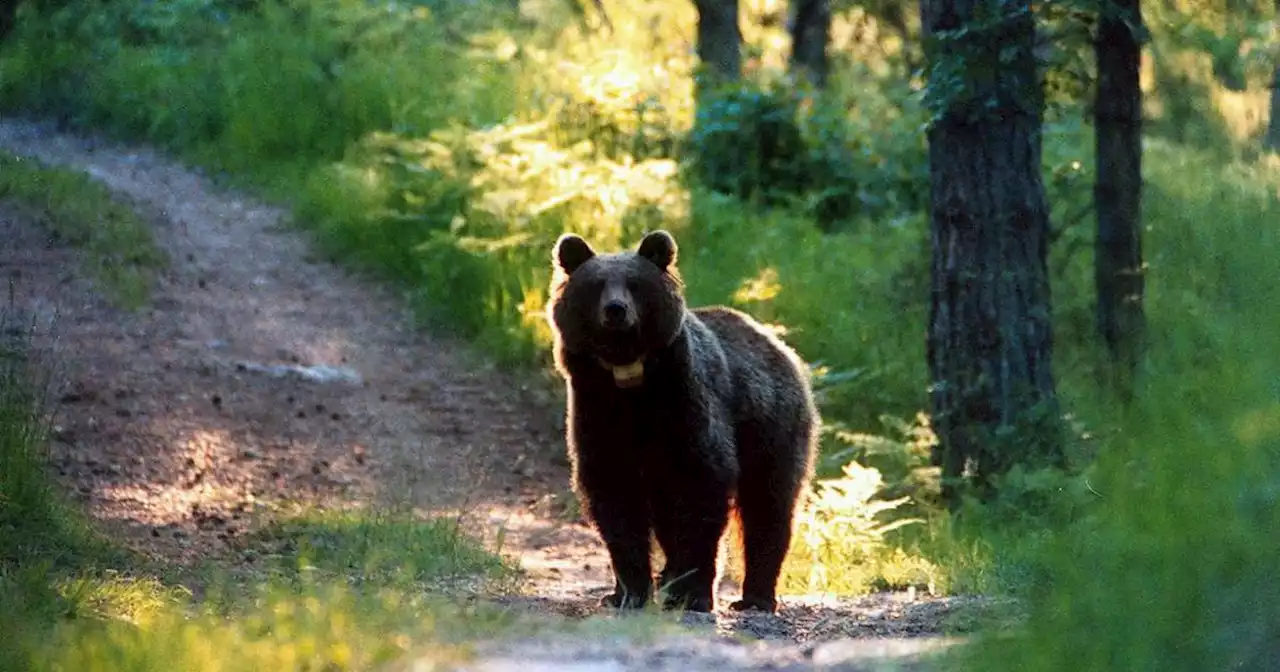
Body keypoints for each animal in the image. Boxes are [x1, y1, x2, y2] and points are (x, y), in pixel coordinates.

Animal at [545, 227, 814, 609]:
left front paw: (693, 592)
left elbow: (702, 490)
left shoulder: (685, 408)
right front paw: (629, 591)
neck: (631, 382)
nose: (616, 310)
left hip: (770, 426)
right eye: (596, 285)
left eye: (635, 283)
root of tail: (778, 344)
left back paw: (756, 596)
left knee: (769, 504)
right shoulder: (598, 412)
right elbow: (615, 499)